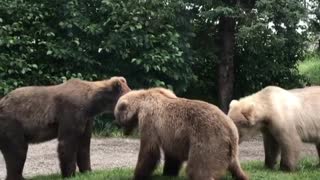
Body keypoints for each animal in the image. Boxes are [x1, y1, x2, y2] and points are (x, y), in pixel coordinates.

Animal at [0, 77, 131, 180]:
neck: (91, 103)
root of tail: (2, 100)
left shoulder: (87, 119)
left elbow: (84, 145)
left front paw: (87, 171)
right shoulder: (71, 112)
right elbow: (67, 143)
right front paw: (70, 174)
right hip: (13, 123)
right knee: (18, 151)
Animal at [114, 87, 249, 180]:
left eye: (119, 119)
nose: (124, 132)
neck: (140, 104)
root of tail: (231, 129)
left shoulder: (149, 120)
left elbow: (149, 150)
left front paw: (137, 174)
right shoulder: (171, 136)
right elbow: (172, 154)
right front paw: (168, 172)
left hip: (208, 140)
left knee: (198, 169)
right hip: (228, 151)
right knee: (236, 169)